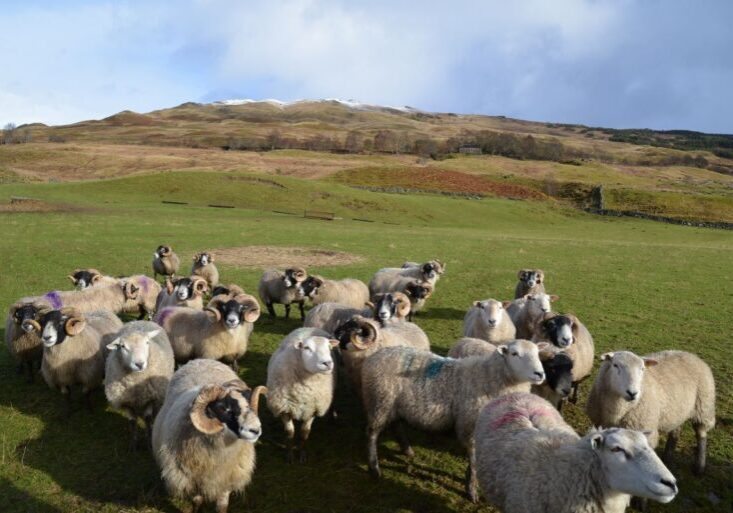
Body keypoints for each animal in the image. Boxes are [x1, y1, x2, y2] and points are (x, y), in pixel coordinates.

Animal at [152, 356, 266, 512]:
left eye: (249, 405)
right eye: (225, 409)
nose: (256, 430)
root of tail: (201, 359)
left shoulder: (227, 480)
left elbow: (222, 506)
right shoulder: (193, 480)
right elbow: (197, 501)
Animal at [268, 328, 338, 464]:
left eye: (329, 347)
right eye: (306, 348)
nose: (327, 363)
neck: (303, 392)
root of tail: (310, 328)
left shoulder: (313, 409)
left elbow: (304, 433)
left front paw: (302, 454)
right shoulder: (284, 409)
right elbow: (289, 433)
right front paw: (289, 455)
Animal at [358, 338, 548, 502]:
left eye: (538, 353)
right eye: (514, 353)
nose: (540, 374)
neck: (489, 378)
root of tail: (374, 356)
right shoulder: (471, 425)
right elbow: (474, 460)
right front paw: (471, 489)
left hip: (392, 404)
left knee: (396, 425)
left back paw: (407, 450)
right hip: (379, 401)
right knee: (371, 433)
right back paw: (374, 468)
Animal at [584, 348, 716, 476]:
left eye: (642, 369)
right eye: (615, 365)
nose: (632, 393)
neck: (617, 410)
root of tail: (690, 354)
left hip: (704, 406)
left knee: (701, 433)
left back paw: (699, 467)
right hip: (678, 410)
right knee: (676, 430)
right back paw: (668, 457)